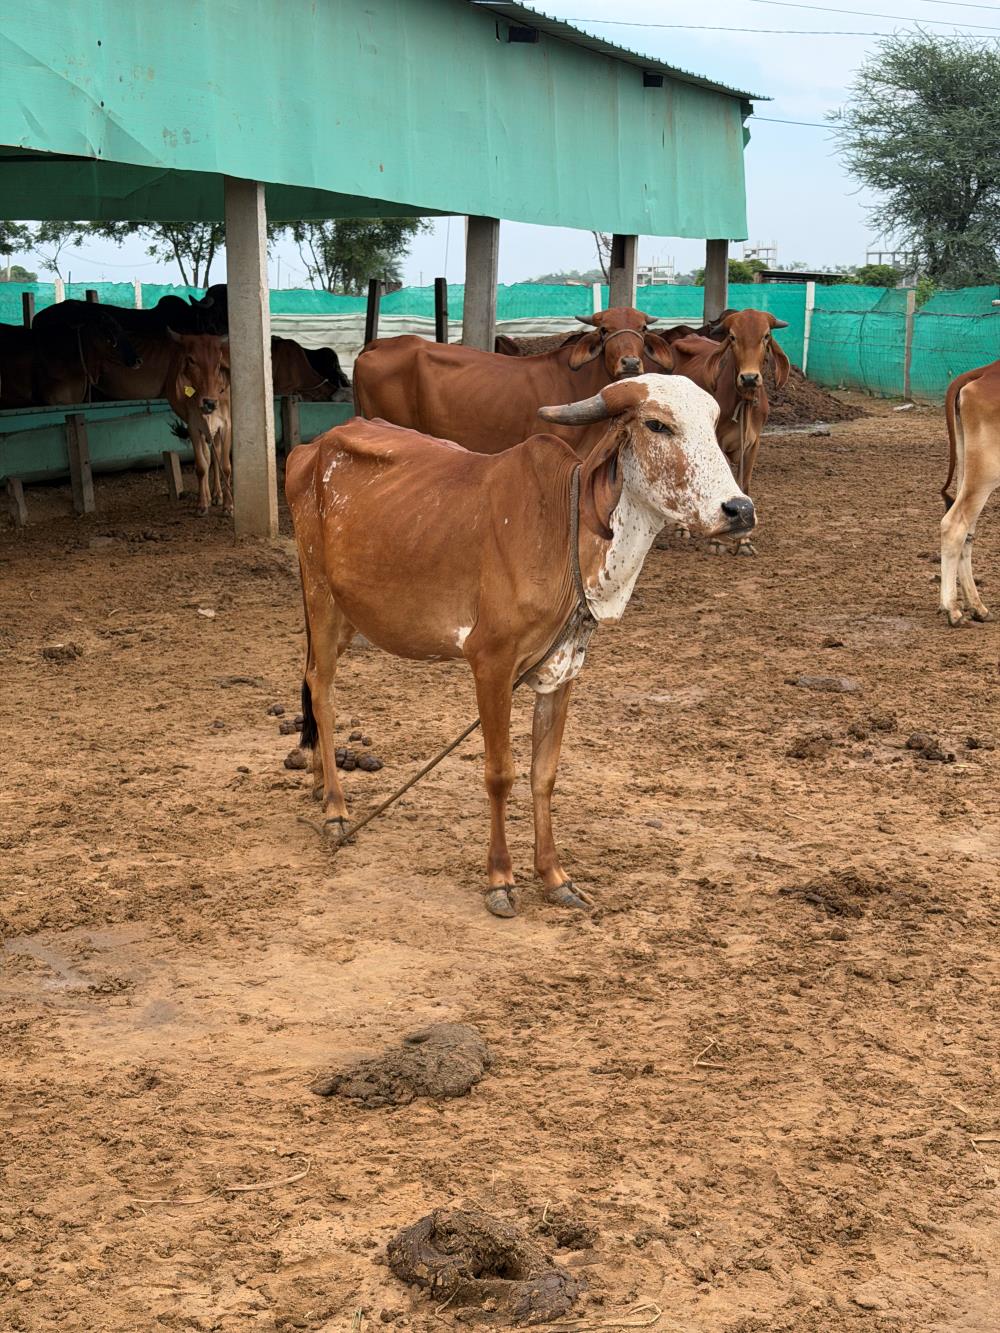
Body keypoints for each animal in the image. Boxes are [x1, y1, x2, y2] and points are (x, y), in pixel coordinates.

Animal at [165, 332, 232, 515]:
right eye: (191, 359)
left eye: (218, 362)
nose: (210, 402)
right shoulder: (194, 427)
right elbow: (201, 466)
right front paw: (202, 505)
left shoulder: (226, 425)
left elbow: (225, 466)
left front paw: (229, 506)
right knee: (209, 457)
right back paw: (210, 496)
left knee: (215, 457)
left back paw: (218, 495)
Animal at [286, 373, 754, 919]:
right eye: (657, 424)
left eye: (714, 421)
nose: (739, 510)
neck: (566, 533)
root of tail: (311, 449)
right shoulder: (490, 664)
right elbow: (500, 774)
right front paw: (500, 879)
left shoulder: (562, 670)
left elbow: (543, 774)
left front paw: (554, 876)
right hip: (320, 595)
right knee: (322, 691)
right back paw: (336, 808)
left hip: (343, 615)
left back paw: (320, 783)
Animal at [668, 309, 790, 553]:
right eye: (733, 337)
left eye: (766, 336)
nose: (749, 378)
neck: (743, 402)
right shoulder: (718, 442)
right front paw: (717, 541)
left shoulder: (753, 444)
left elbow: (744, 486)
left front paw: (744, 541)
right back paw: (681, 528)